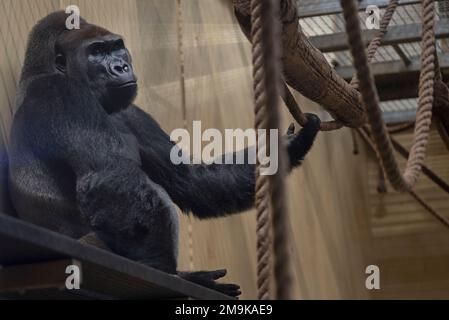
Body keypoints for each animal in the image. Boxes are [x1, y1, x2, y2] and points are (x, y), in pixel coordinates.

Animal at [8, 11, 320, 298]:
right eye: (95, 52)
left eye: (116, 47)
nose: (121, 66)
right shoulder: (60, 92)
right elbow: (110, 176)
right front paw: (159, 267)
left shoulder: (132, 113)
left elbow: (188, 178)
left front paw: (289, 146)